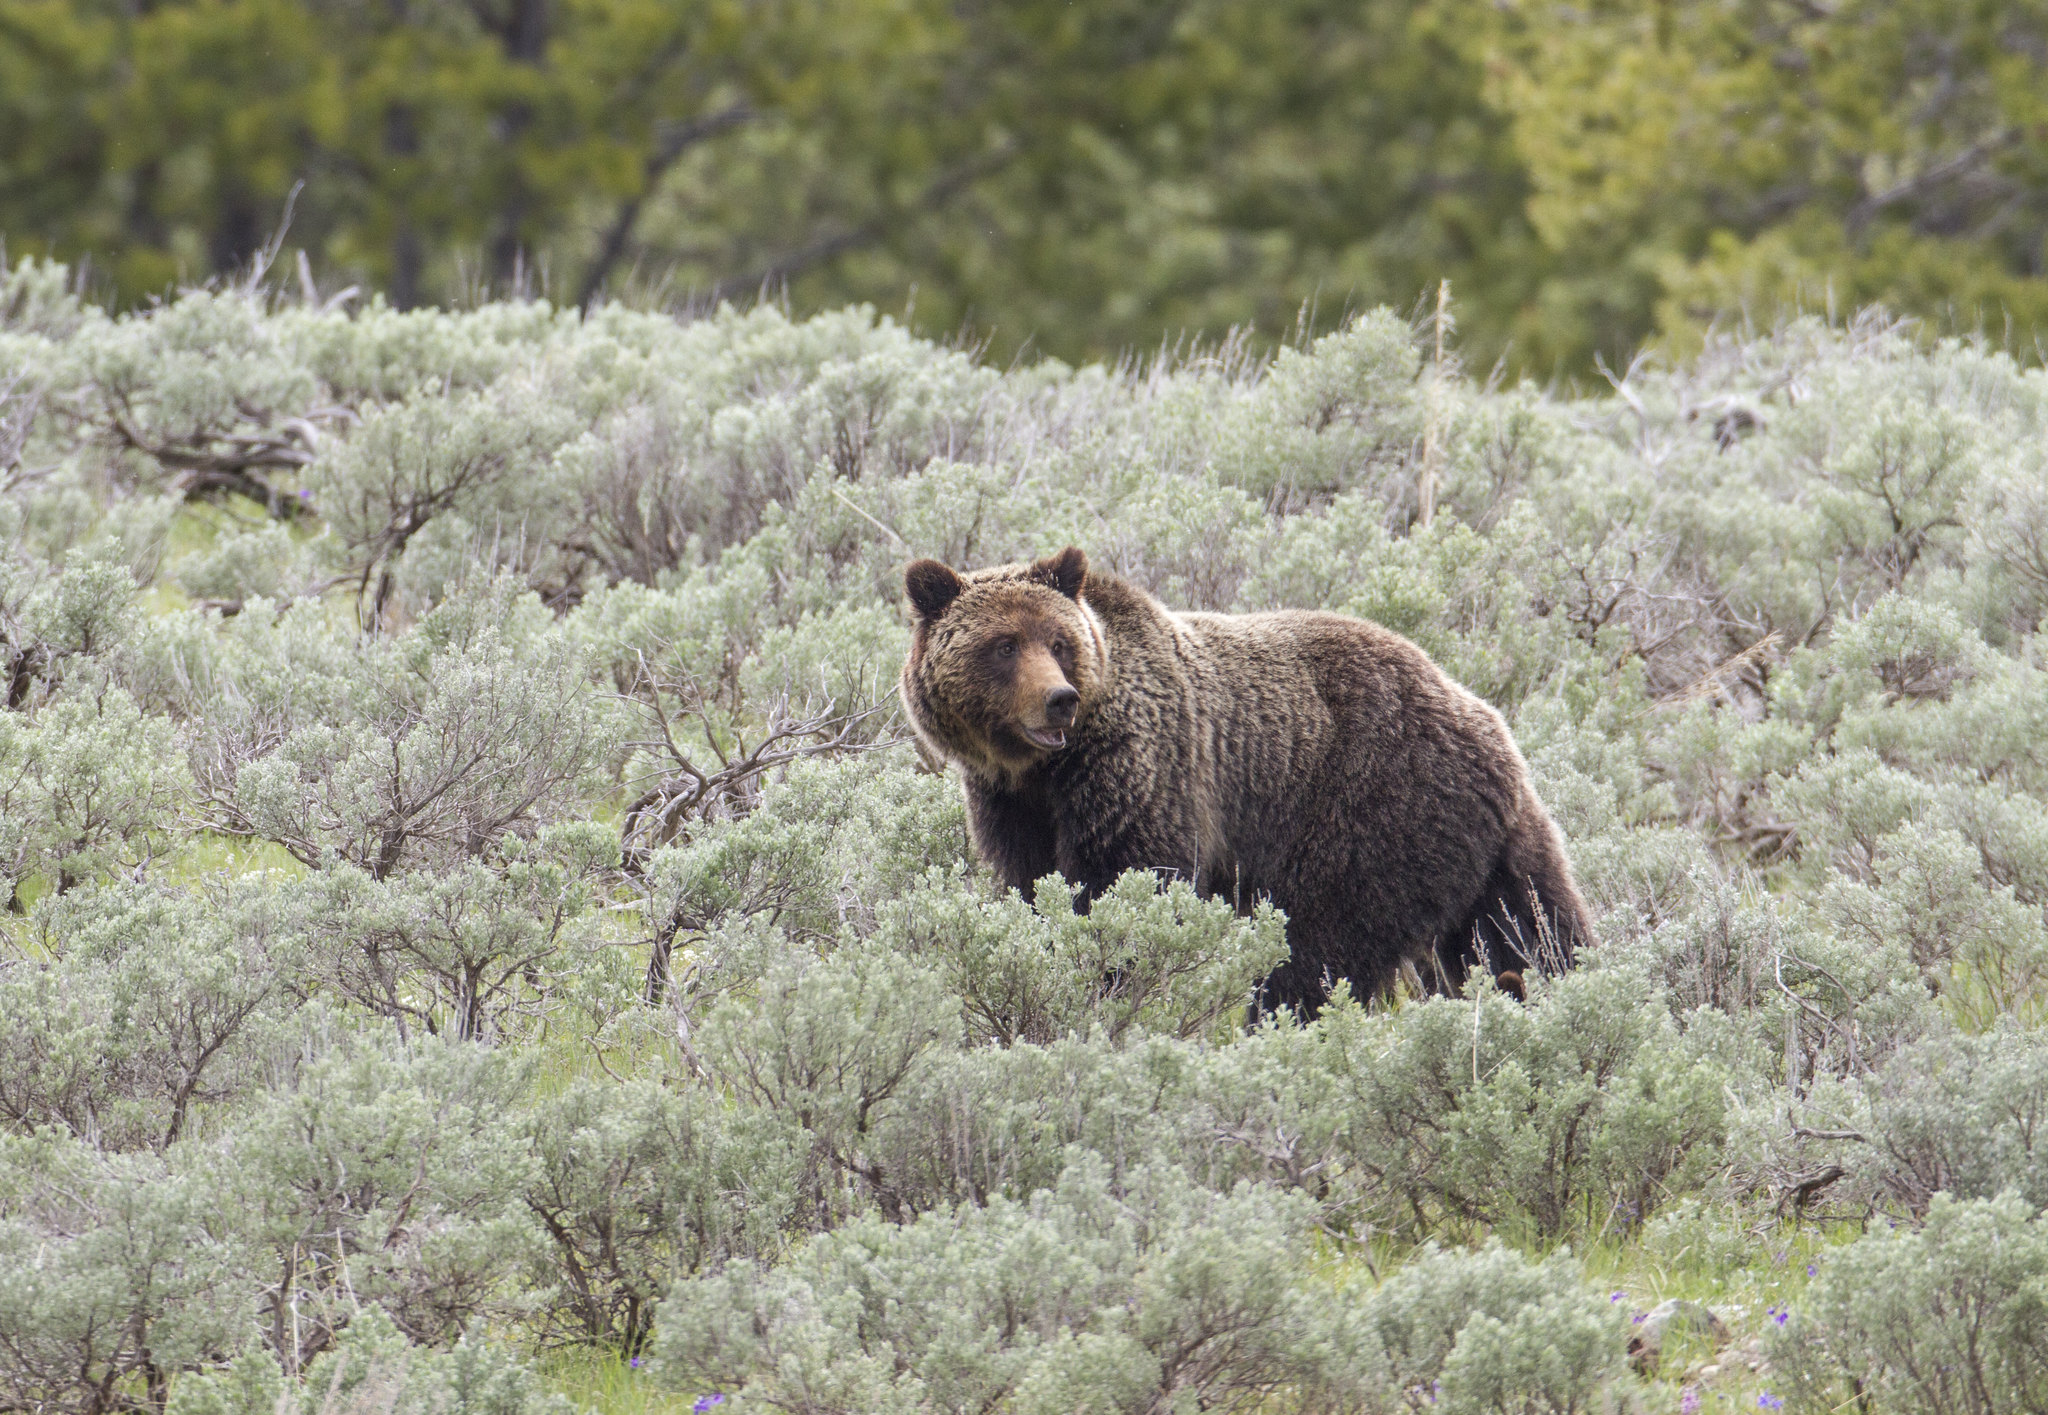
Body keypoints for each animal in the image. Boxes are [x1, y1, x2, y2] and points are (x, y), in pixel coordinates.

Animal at [905, 544, 1589, 1019]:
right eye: (1003, 645)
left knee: (1318, 949)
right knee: (1529, 925)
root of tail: (1490, 725)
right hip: (1483, 845)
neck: (1044, 770)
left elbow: (1127, 883)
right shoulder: (1011, 804)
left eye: (1057, 641)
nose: (1058, 700)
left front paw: (1114, 981)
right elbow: (1032, 886)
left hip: (1371, 811)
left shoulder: (1142, 771)